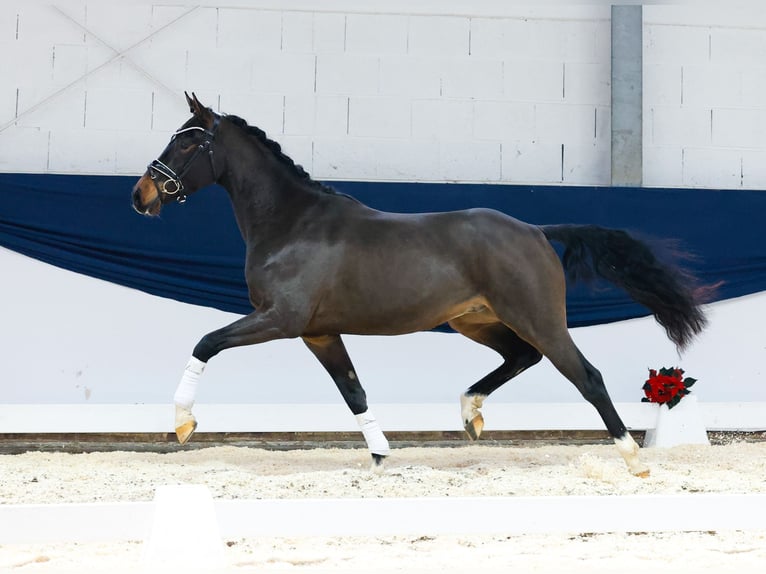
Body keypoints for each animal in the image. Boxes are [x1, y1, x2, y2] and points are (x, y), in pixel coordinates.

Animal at [130, 93, 708, 476]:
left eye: (189, 144)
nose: (141, 195)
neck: (292, 224)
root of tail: (536, 231)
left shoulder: (279, 319)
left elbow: (205, 342)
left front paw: (182, 424)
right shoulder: (318, 332)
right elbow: (354, 392)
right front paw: (381, 453)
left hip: (538, 318)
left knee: (585, 375)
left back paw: (632, 458)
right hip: (476, 320)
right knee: (520, 357)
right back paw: (471, 413)